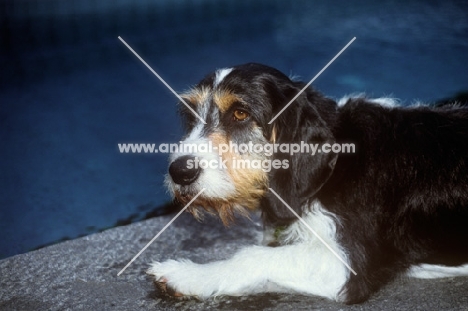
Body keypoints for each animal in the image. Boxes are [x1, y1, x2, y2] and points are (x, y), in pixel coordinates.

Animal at [147, 62, 468, 304]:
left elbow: (251, 256)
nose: (179, 171)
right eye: (191, 117)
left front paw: (187, 276)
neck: (337, 165)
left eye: (240, 113)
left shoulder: (346, 265)